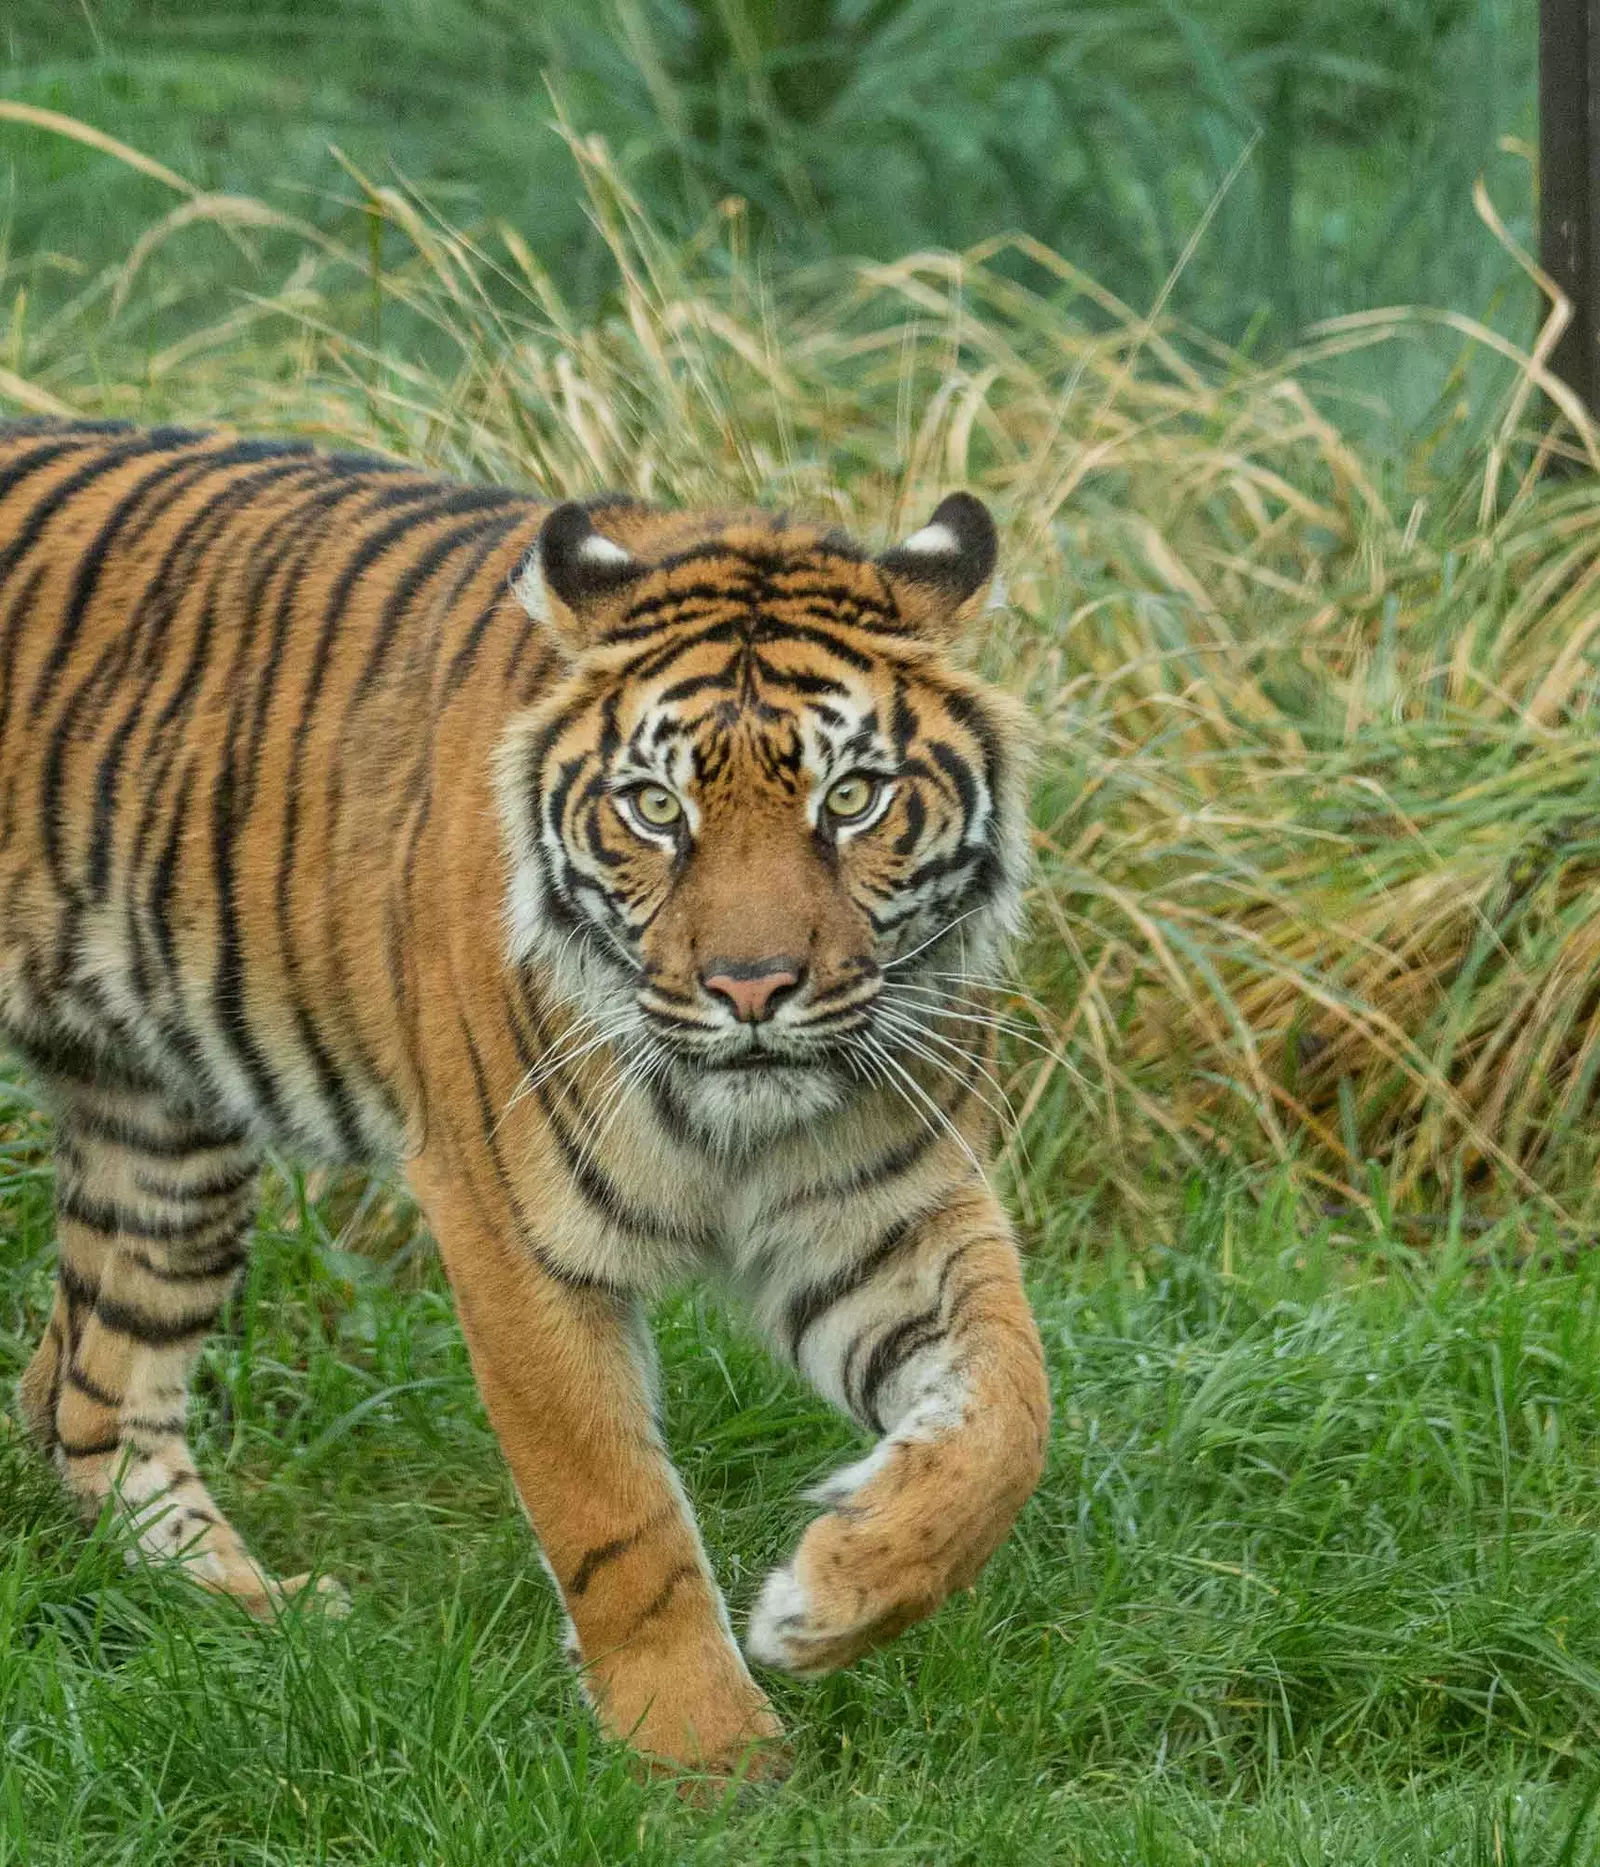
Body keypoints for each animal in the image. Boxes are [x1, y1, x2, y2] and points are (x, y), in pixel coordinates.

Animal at [0, 420, 1045, 1777]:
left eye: (851, 798)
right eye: (656, 809)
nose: (752, 987)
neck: (736, 1113)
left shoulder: (884, 1208)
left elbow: (1007, 1416)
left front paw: (836, 1597)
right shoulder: (513, 1229)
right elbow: (615, 1510)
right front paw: (704, 1755)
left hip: (160, 1136)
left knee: (89, 1391)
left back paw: (257, 1615)